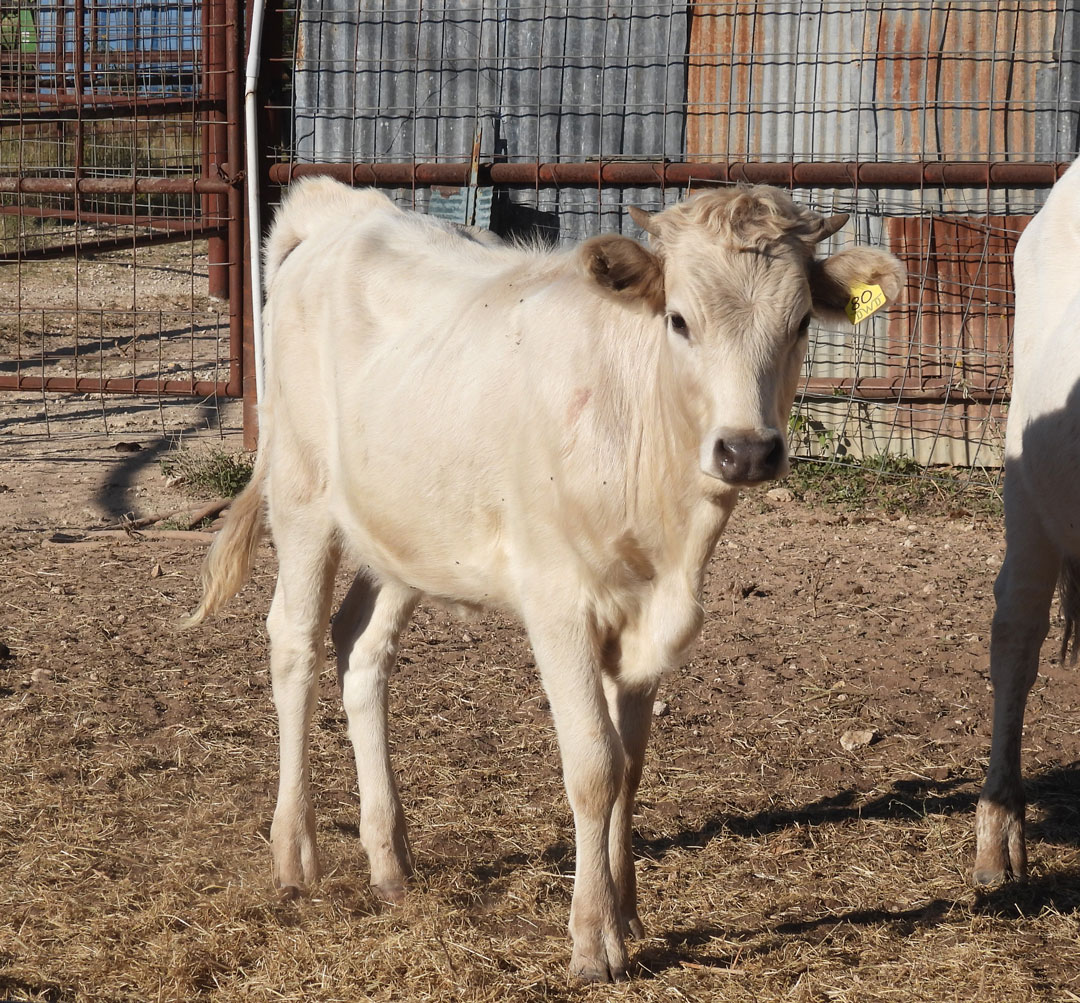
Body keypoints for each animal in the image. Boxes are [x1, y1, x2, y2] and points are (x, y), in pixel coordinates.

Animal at [192, 180, 902, 980]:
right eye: (679, 319)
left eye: (802, 321)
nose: (747, 450)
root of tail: (345, 209)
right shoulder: (559, 602)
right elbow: (594, 765)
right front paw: (593, 940)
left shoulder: (645, 614)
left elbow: (632, 765)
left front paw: (628, 911)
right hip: (302, 493)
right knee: (295, 645)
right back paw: (295, 855)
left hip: (407, 528)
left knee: (360, 649)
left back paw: (391, 862)